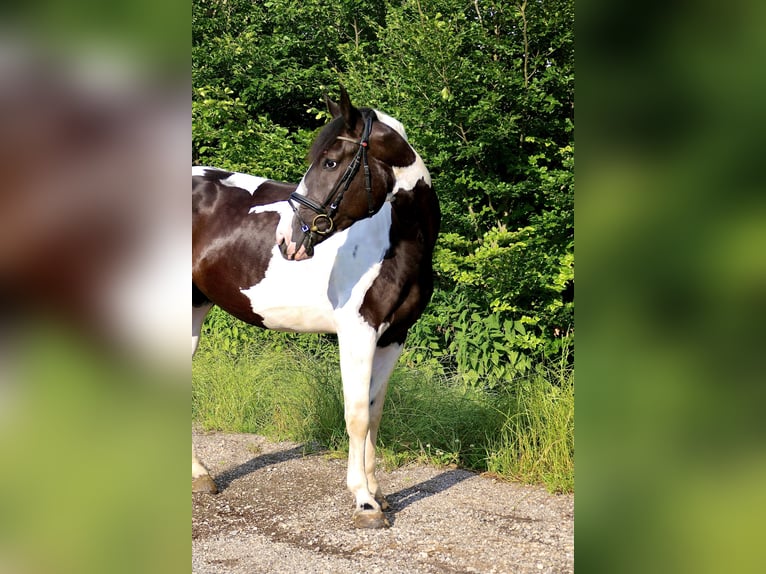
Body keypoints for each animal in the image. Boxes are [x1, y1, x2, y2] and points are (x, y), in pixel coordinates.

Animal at [192, 90, 440, 532]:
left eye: (330, 162)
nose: (288, 239)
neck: (395, 241)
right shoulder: (358, 332)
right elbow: (356, 415)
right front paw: (364, 502)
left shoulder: (394, 337)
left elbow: (375, 413)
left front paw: (379, 493)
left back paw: (200, 476)